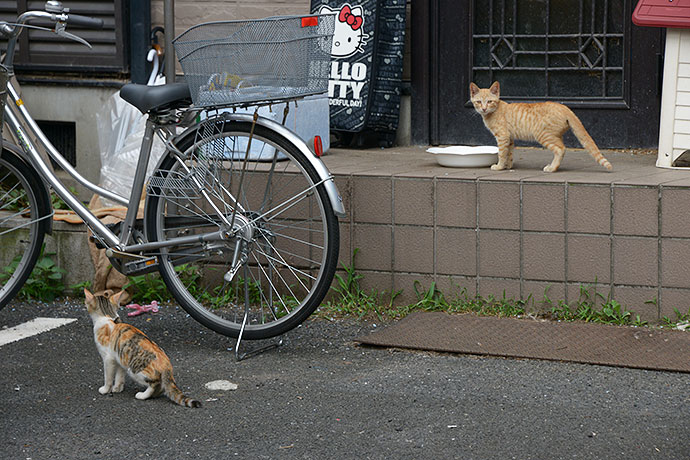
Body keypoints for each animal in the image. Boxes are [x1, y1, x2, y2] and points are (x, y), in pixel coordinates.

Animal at [468, 81, 612, 172]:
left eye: (489, 102)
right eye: (478, 102)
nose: (484, 108)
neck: (494, 111)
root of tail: (565, 107)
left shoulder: (502, 136)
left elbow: (502, 153)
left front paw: (499, 166)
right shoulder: (510, 138)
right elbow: (509, 153)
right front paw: (507, 166)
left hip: (543, 135)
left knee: (561, 149)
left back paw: (552, 168)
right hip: (554, 135)